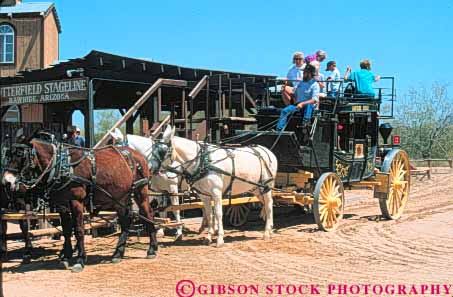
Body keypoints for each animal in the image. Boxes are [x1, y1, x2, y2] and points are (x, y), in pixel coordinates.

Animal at [2, 133, 157, 272]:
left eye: (20, 154)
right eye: (8, 154)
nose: (6, 182)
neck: (62, 166)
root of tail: (138, 155)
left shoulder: (76, 201)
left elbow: (78, 229)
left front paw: (80, 260)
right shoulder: (62, 204)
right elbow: (66, 230)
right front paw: (66, 257)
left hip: (140, 191)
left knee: (148, 215)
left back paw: (151, 249)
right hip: (120, 198)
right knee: (125, 221)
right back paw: (118, 253)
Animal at [148, 126, 278, 246]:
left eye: (162, 151)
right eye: (152, 150)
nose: (149, 168)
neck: (204, 161)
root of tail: (268, 151)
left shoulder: (216, 193)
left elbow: (218, 213)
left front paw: (220, 238)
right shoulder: (204, 195)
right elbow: (209, 214)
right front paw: (209, 237)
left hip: (266, 186)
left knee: (269, 205)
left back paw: (266, 233)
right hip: (257, 189)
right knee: (265, 204)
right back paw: (270, 229)